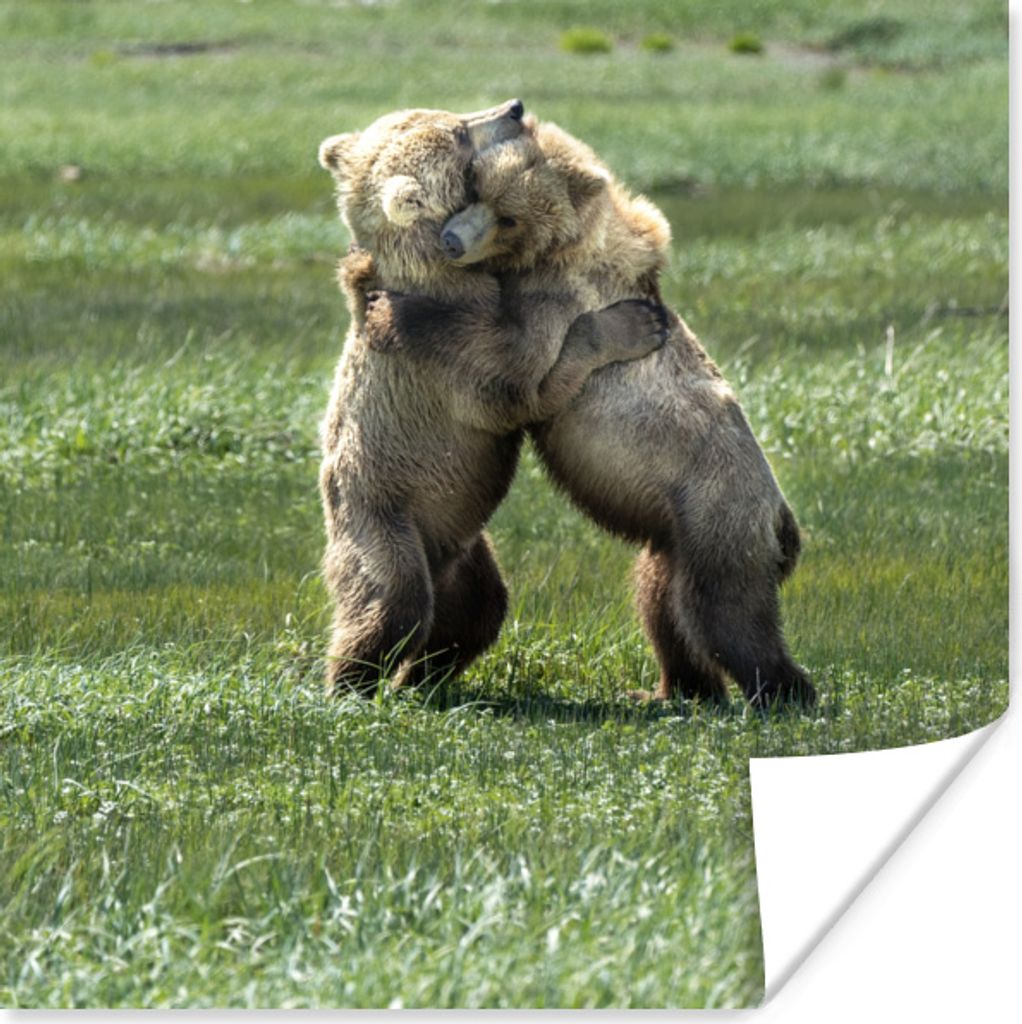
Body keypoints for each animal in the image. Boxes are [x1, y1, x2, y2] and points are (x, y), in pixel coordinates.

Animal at [316, 101, 670, 696]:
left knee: (480, 608)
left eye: (448, 113)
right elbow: (523, 388)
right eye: (460, 133)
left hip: (462, 536)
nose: (514, 107)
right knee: (391, 600)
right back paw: (352, 682)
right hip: (378, 513)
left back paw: (425, 676)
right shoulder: (455, 367)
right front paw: (632, 325)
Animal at [362, 115, 815, 708]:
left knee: (727, 617)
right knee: (662, 603)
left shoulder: (554, 299)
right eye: (474, 186)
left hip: (721, 515)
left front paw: (392, 311)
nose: (452, 241)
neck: (557, 250)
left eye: (509, 215)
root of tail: (782, 520)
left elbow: (511, 370)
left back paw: (785, 695)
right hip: (675, 537)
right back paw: (671, 690)